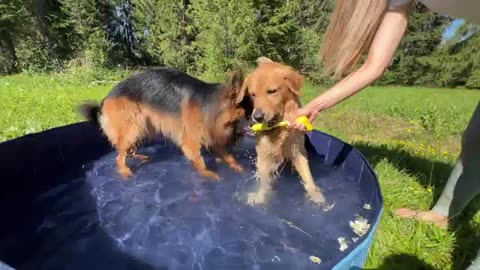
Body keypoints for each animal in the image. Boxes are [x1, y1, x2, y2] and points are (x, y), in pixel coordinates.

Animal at [78, 66, 251, 180]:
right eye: (249, 113)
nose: (259, 119)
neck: (208, 105)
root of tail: (105, 99)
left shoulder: (213, 137)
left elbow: (229, 157)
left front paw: (240, 169)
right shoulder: (190, 142)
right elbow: (201, 163)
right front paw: (209, 175)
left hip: (142, 127)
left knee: (127, 149)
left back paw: (140, 157)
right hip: (133, 126)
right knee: (119, 157)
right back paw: (125, 172)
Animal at [237, 57, 326, 205]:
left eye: (272, 91)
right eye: (253, 94)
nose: (257, 117)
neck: (278, 129)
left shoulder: (297, 151)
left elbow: (308, 178)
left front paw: (317, 197)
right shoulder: (264, 154)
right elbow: (264, 181)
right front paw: (260, 198)